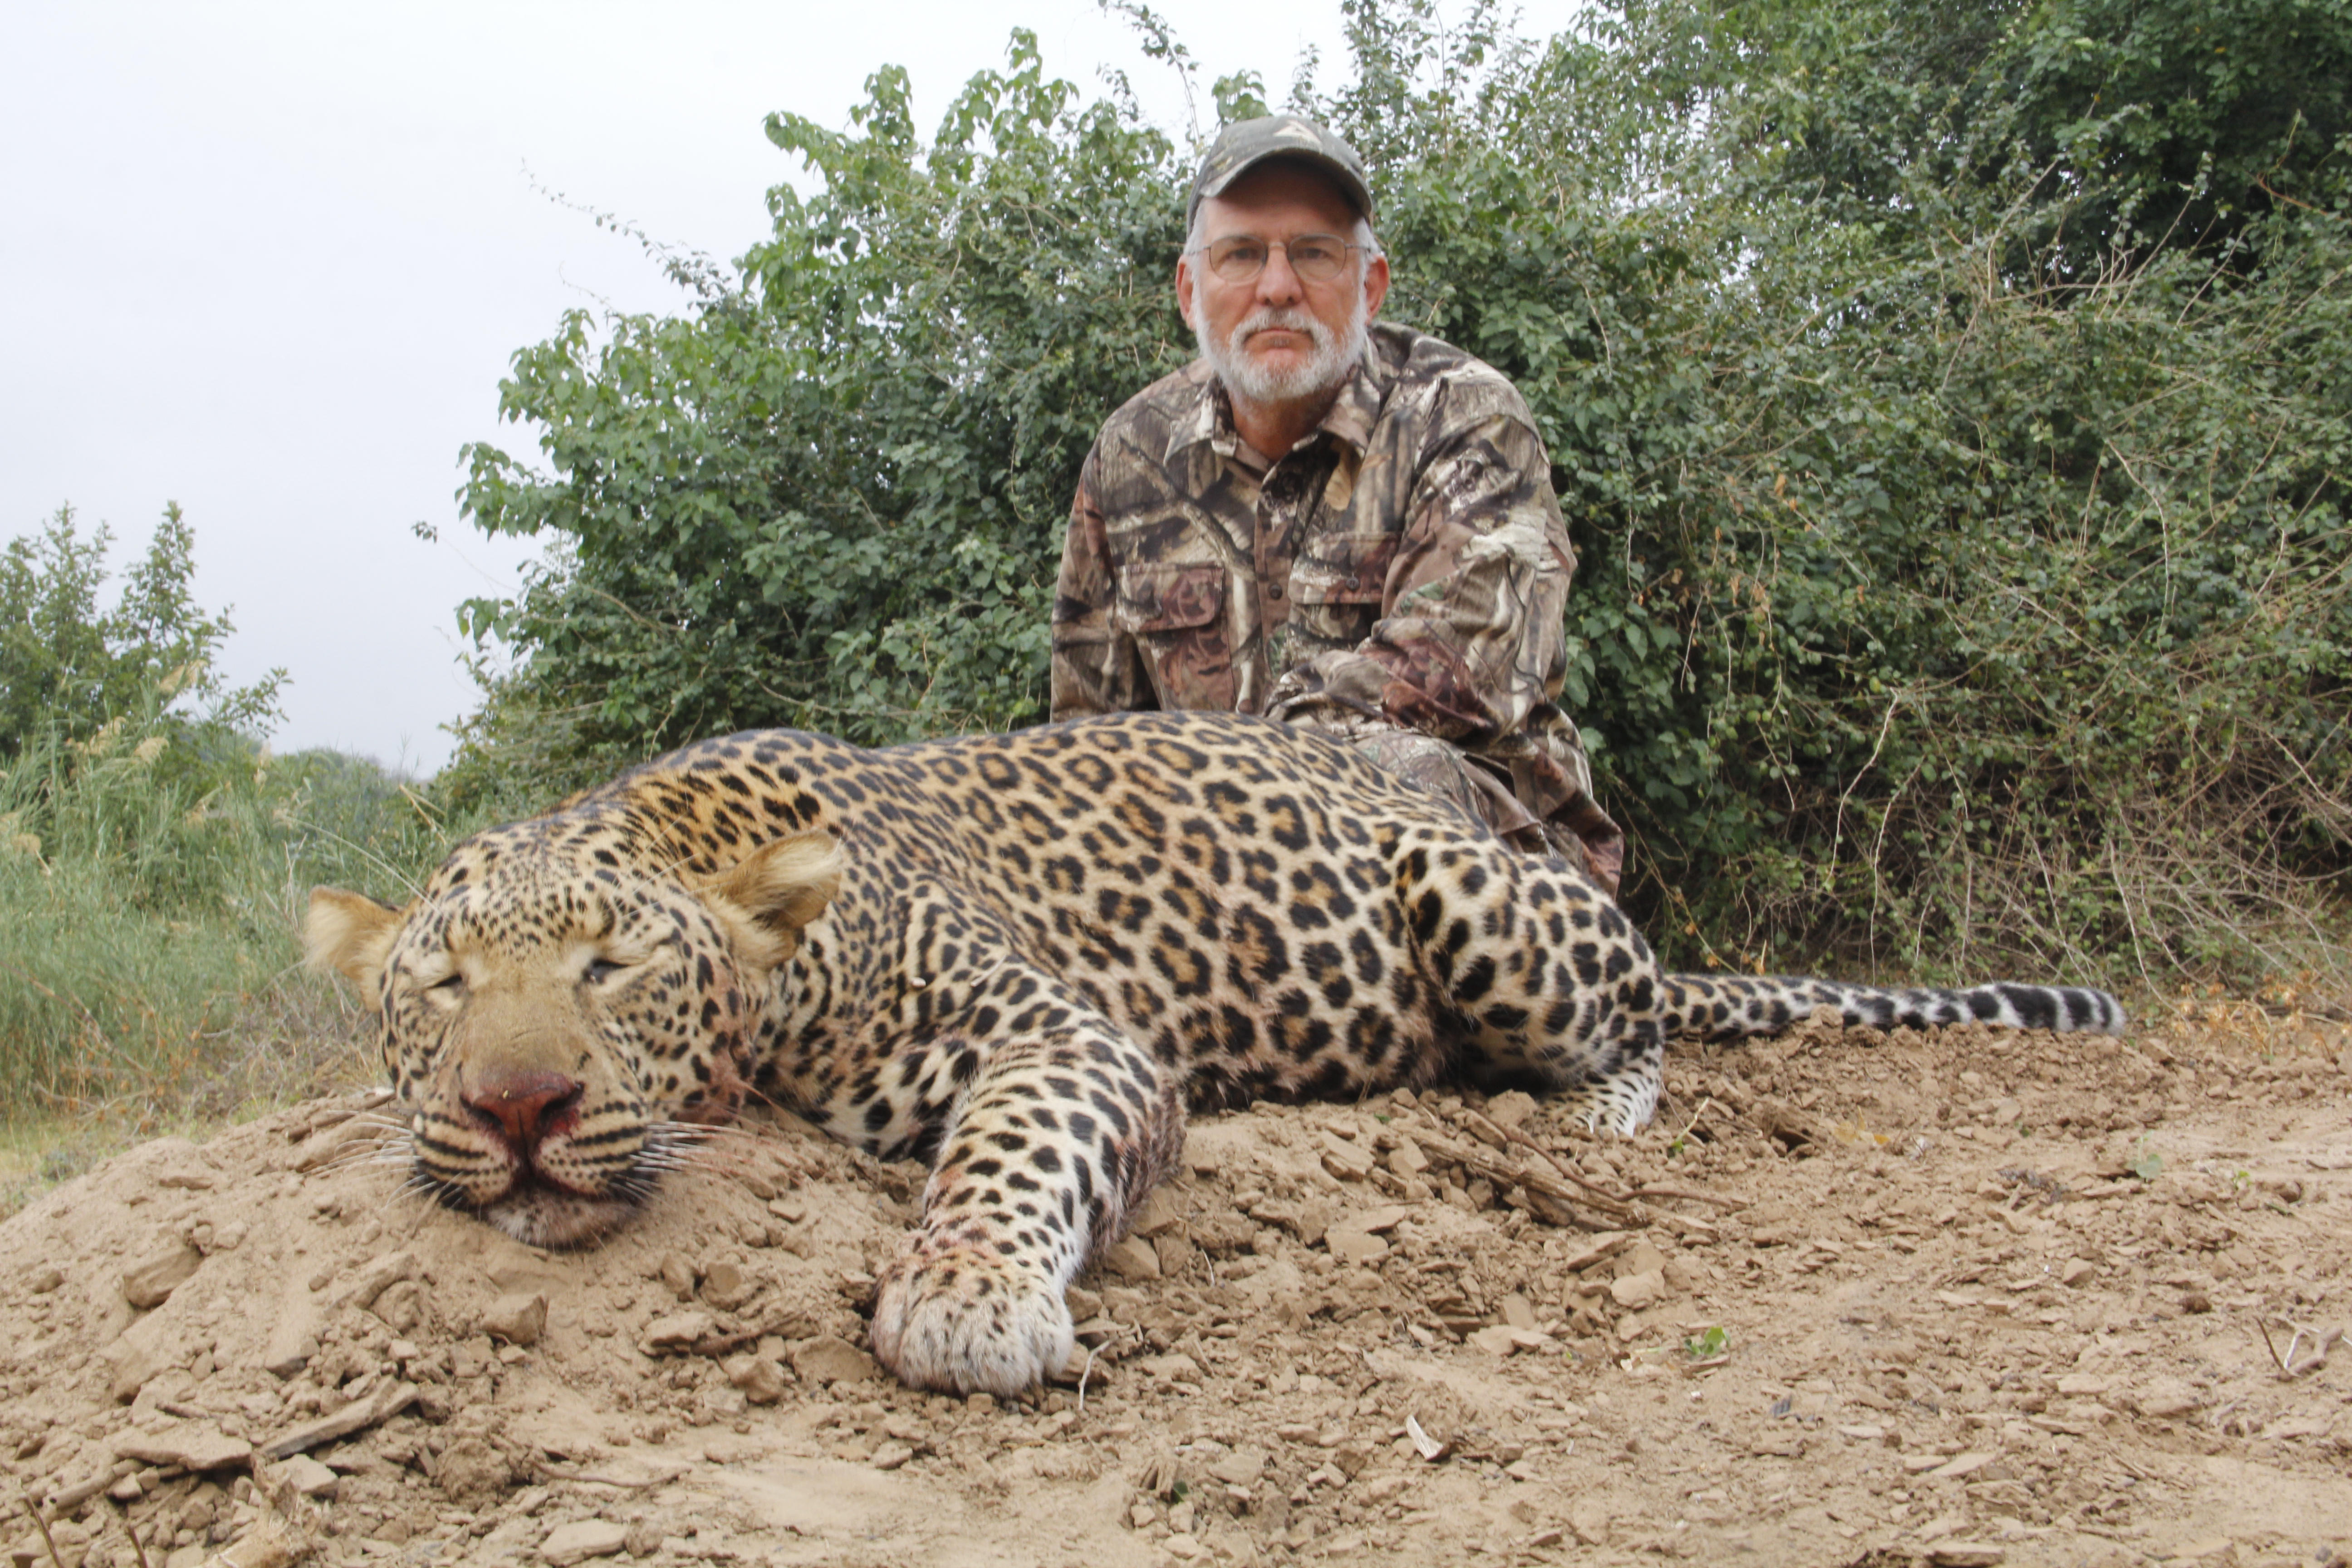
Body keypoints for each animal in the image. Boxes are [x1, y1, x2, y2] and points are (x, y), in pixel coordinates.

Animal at [306, 710, 2124, 1397]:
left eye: (611, 972)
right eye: (440, 990)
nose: (520, 1107)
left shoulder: (1058, 1032)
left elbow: (1014, 1153)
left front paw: (968, 1299)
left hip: (1486, 905)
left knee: (1644, 1023)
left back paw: (1581, 1118)